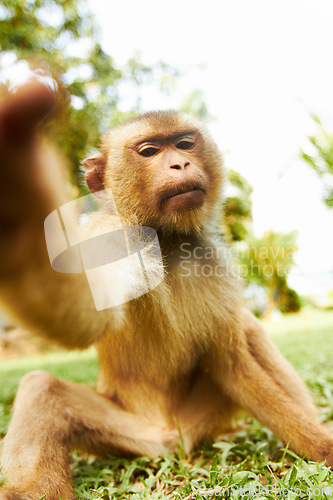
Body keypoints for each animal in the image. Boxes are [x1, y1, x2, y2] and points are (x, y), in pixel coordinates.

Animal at [0, 82, 332, 500]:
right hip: (128, 433)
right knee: (42, 386)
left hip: (196, 419)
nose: (180, 165)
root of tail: (171, 441)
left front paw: (322, 447)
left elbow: (232, 363)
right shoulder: (110, 238)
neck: (167, 241)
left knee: (250, 330)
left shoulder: (213, 261)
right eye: (149, 152)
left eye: (185, 144)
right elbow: (84, 317)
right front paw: (18, 208)